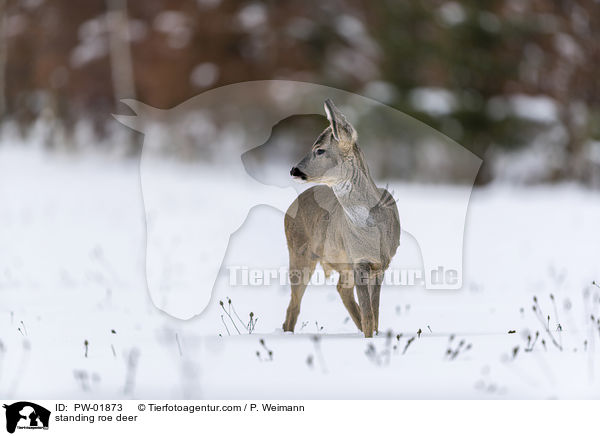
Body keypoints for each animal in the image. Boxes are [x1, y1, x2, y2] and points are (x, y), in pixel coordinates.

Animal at [284, 98, 400, 338]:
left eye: (319, 150)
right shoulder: (358, 261)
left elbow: (374, 315)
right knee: (293, 307)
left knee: (340, 290)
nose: (293, 170)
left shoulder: (380, 265)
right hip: (299, 252)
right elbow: (369, 315)